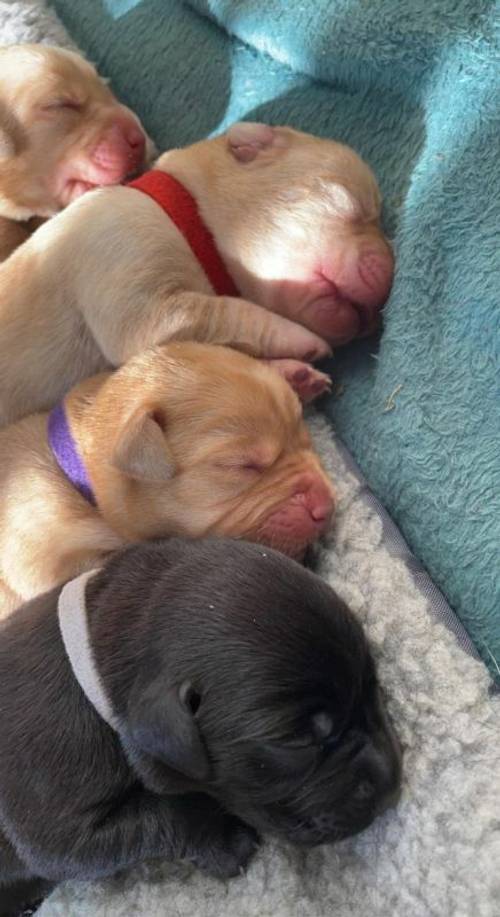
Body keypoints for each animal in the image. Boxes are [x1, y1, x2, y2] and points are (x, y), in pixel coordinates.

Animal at [0, 120, 392, 428]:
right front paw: (302, 339)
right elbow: (230, 312)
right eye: (354, 203)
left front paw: (292, 375)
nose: (390, 280)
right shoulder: (138, 296)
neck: (190, 215)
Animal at [0, 536, 400, 900]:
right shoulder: (60, 829)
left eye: (373, 686)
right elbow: (168, 810)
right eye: (298, 741)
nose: (389, 780)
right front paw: (225, 842)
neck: (91, 660)